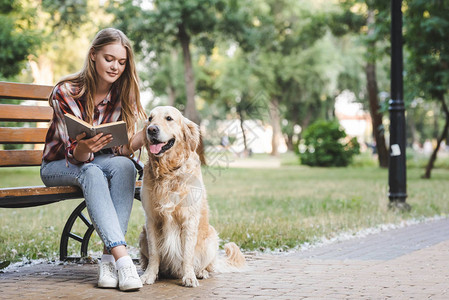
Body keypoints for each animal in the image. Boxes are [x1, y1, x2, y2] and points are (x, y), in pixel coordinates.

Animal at [139, 106, 245, 288]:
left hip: (211, 237)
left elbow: (187, 254)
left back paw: (201, 272)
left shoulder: (189, 220)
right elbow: (154, 253)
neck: (169, 172)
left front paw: (189, 277)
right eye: (150, 118)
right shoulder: (151, 220)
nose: (151, 129)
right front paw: (149, 275)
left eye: (169, 118)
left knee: (207, 265)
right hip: (142, 235)